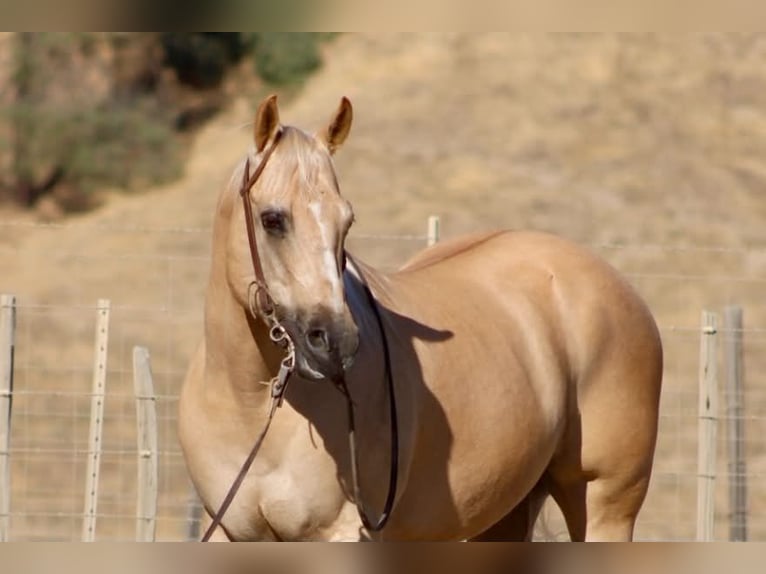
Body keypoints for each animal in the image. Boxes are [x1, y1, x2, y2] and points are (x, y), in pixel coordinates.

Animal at [178, 94, 663, 541]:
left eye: (347, 222)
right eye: (272, 219)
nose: (334, 342)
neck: (253, 401)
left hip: (604, 506)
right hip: (504, 514)